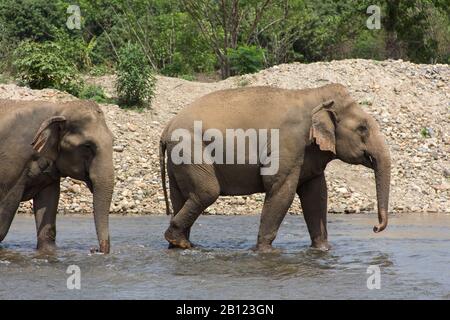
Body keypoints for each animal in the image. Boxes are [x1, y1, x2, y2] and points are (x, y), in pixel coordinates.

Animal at [0, 99, 114, 254]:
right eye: (87, 146)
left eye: (113, 141)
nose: (94, 249)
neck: (59, 108)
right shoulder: (12, 161)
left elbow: (48, 202)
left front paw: (48, 251)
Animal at [161, 84, 390, 252]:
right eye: (363, 128)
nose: (375, 228)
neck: (313, 94)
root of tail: (167, 127)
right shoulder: (289, 142)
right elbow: (281, 189)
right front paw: (265, 252)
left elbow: (316, 195)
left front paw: (323, 250)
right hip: (190, 151)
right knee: (207, 192)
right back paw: (180, 242)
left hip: (178, 161)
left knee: (180, 197)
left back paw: (180, 245)